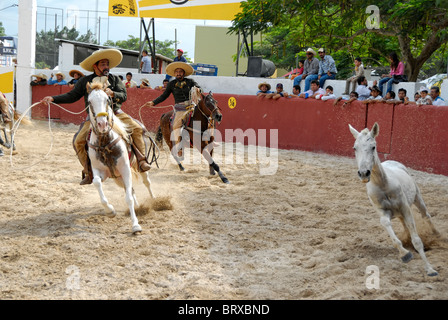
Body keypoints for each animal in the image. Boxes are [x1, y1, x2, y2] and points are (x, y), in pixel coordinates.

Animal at [86, 81, 155, 234]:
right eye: (89, 101)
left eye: (107, 99)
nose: (102, 124)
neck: (104, 143)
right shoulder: (99, 171)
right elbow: (96, 182)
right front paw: (110, 211)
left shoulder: (125, 168)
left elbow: (128, 198)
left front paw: (135, 225)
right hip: (118, 177)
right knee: (130, 188)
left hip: (137, 167)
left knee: (146, 182)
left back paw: (155, 200)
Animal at [348, 122, 440, 278]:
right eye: (355, 148)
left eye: (373, 146)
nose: (364, 173)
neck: (384, 185)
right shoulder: (383, 211)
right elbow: (386, 224)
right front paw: (405, 254)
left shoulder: (406, 209)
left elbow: (417, 241)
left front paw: (430, 269)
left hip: (417, 198)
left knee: (426, 215)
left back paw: (437, 235)